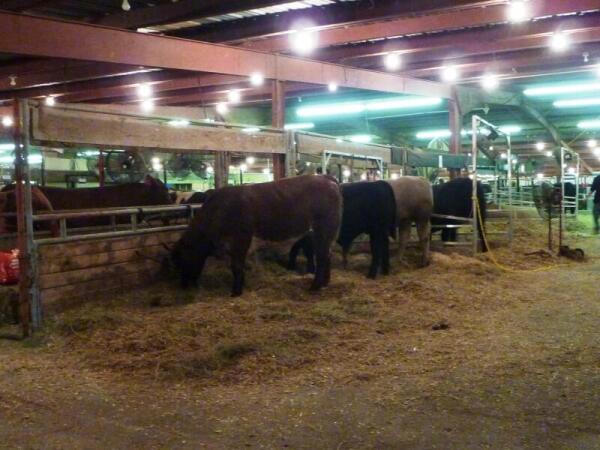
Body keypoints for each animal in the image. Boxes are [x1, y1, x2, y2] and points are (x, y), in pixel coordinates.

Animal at [171, 175, 342, 296]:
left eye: (181, 259)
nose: (183, 285)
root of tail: (325, 178)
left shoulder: (241, 238)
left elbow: (236, 265)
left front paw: (235, 292)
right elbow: (239, 265)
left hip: (323, 228)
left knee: (321, 256)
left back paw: (315, 287)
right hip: (327, 233)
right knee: (327, 254)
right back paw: (325, 283)